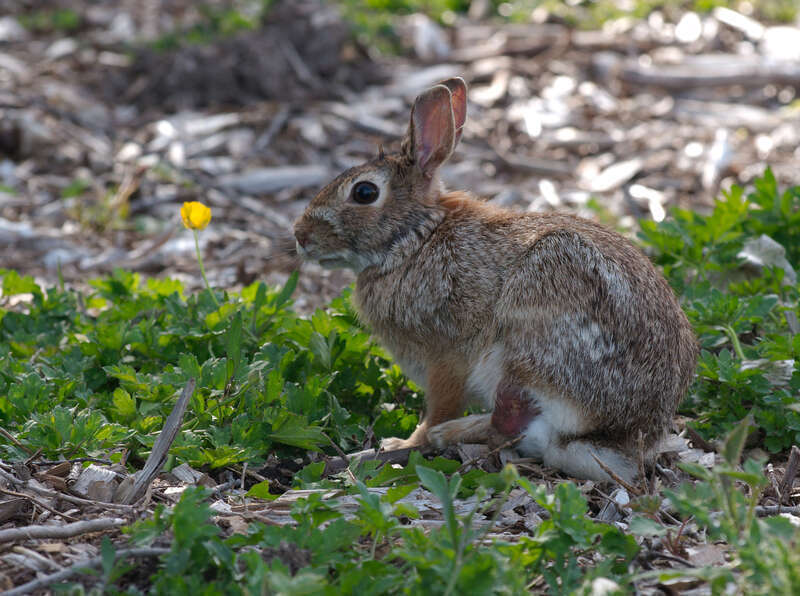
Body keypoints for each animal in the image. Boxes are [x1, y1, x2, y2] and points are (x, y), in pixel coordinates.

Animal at [293, 77, 698, 483]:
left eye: (364, 192)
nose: (300, 235)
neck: (416, 238)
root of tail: (628, 435)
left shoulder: (446, 356)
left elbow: (439, 405)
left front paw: (404, 443)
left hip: (532, 328)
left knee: (509, 422)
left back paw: (448, 434)